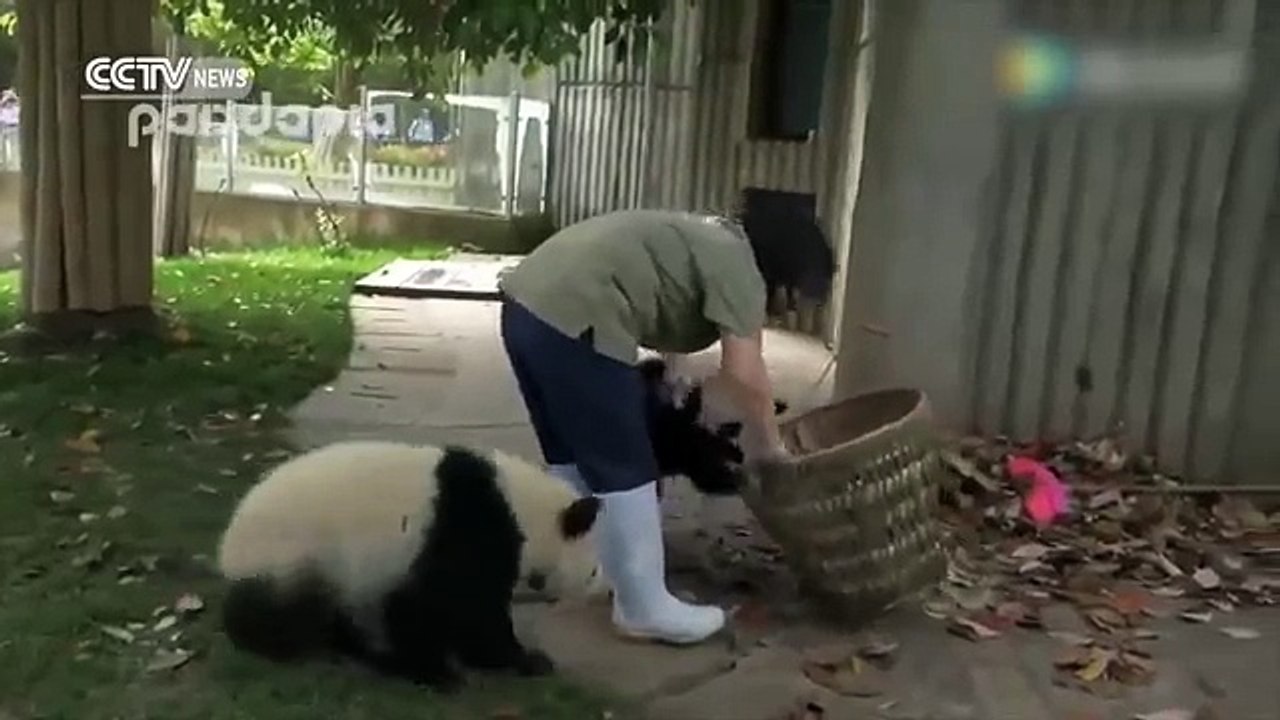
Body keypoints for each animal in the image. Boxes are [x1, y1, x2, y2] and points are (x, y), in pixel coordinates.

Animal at [216, 440, 602, 692]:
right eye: (595, 571)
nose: (603, 592)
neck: (522, 510)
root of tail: (228, 550)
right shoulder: (466, 531)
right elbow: (460, 610)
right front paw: (508, 662)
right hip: (293, 555)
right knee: (284, 618)